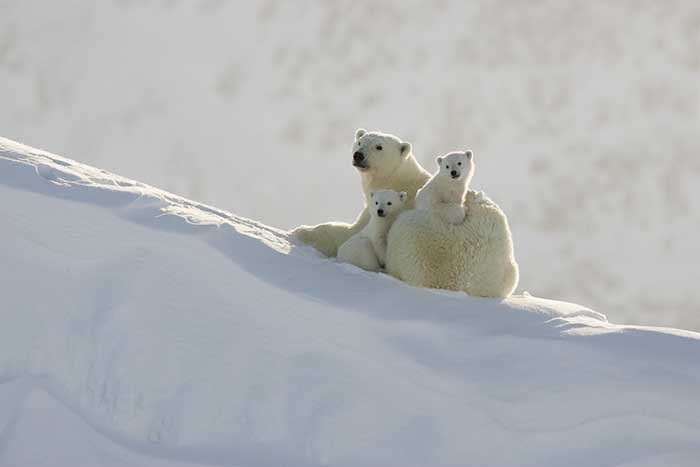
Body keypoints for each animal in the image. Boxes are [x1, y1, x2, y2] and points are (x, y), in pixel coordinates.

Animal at [292, 129, 432, 260]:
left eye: (379, 147)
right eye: (360, 142)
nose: (358, 155)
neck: (397, 181)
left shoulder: (380, 211)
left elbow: (352, 231)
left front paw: (301, 231)